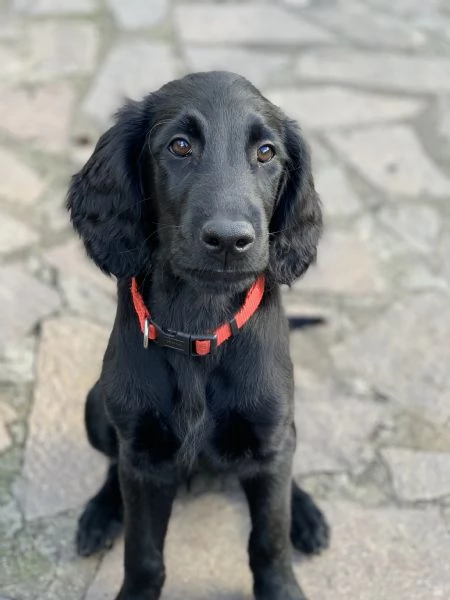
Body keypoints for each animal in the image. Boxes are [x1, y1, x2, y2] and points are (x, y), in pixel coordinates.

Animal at [67, 71, 328, 600]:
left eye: (266, 152)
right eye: (180, 146)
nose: (229, 241)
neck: (199, 325)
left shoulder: (271, 439)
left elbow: (269, 538)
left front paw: (283, 582)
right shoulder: (143, 458)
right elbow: (143, 552)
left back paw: (306, 514)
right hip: (96, 406)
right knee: (111, 465)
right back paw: (102, 512)